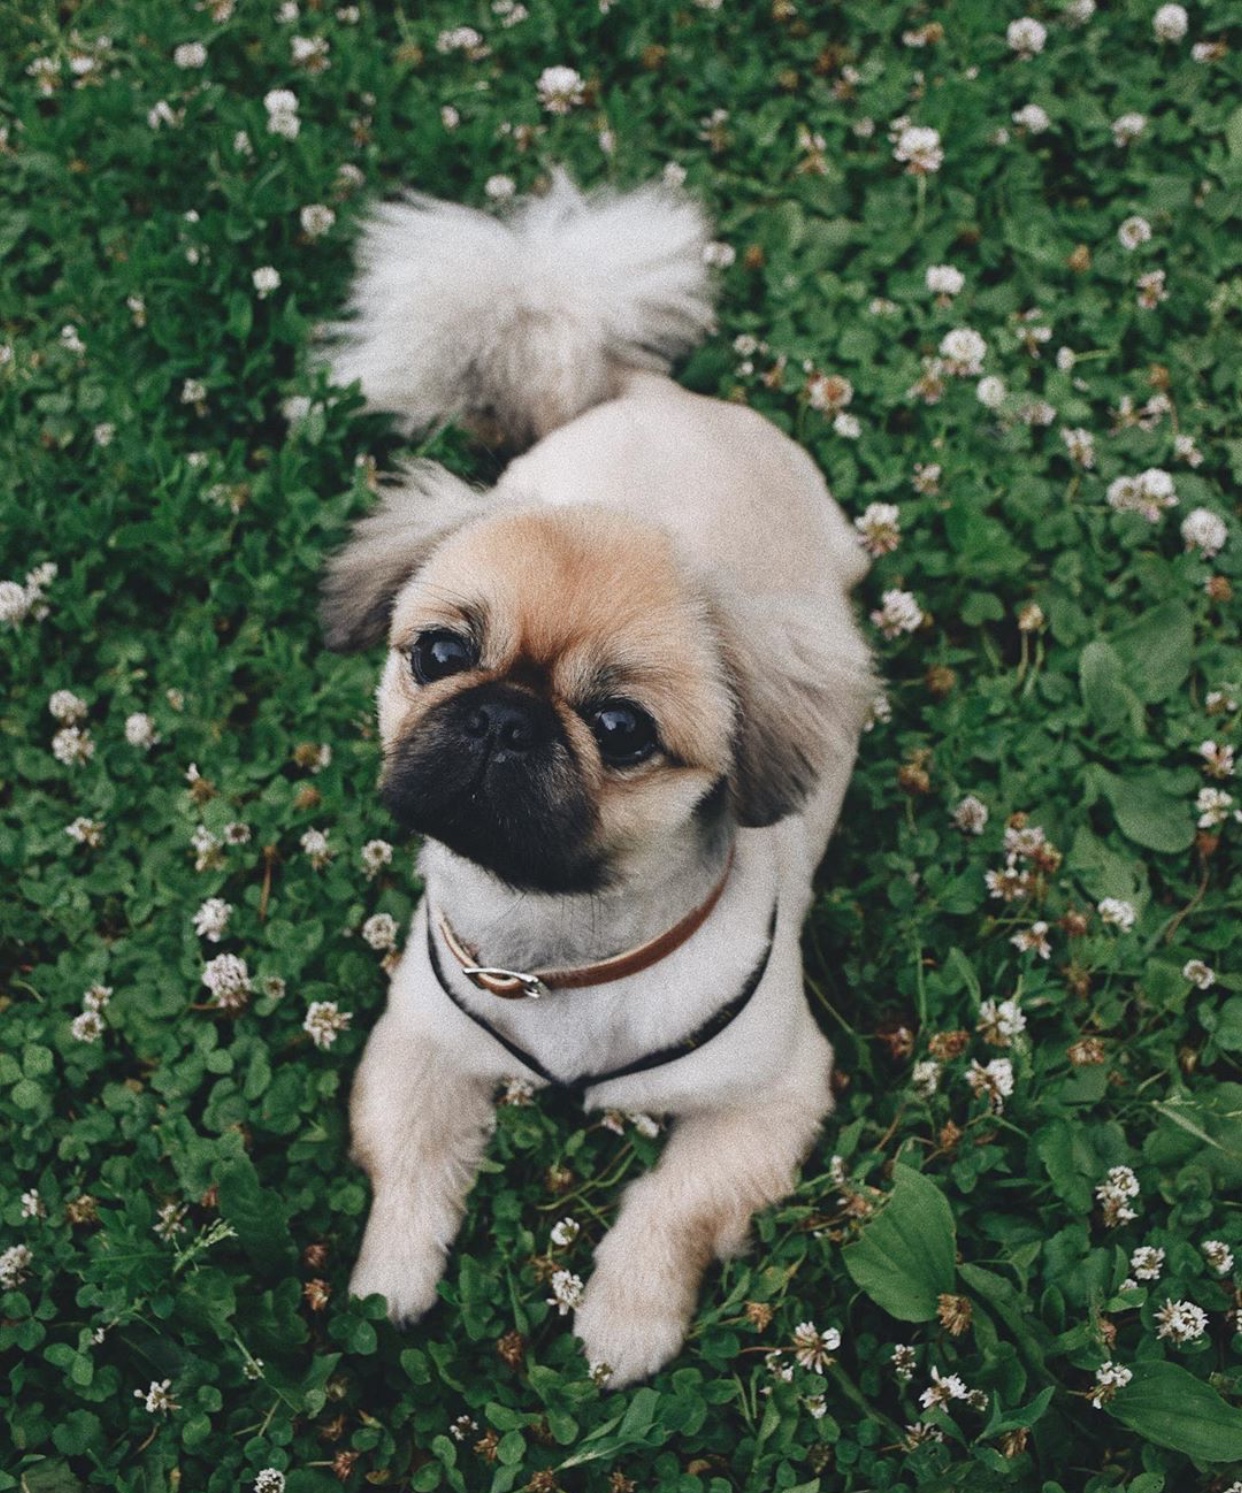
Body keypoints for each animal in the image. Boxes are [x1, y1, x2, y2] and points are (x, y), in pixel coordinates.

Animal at [325, 174, 877, 1385]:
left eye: (622, 729)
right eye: (439, 652)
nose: (504, 716)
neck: (561, 946)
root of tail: (646, 388)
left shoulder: (774, 1098)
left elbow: (670, 1212)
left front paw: (623, 1326)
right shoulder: (416, 1048)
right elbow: (408, 1178)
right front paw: (389, 1291)